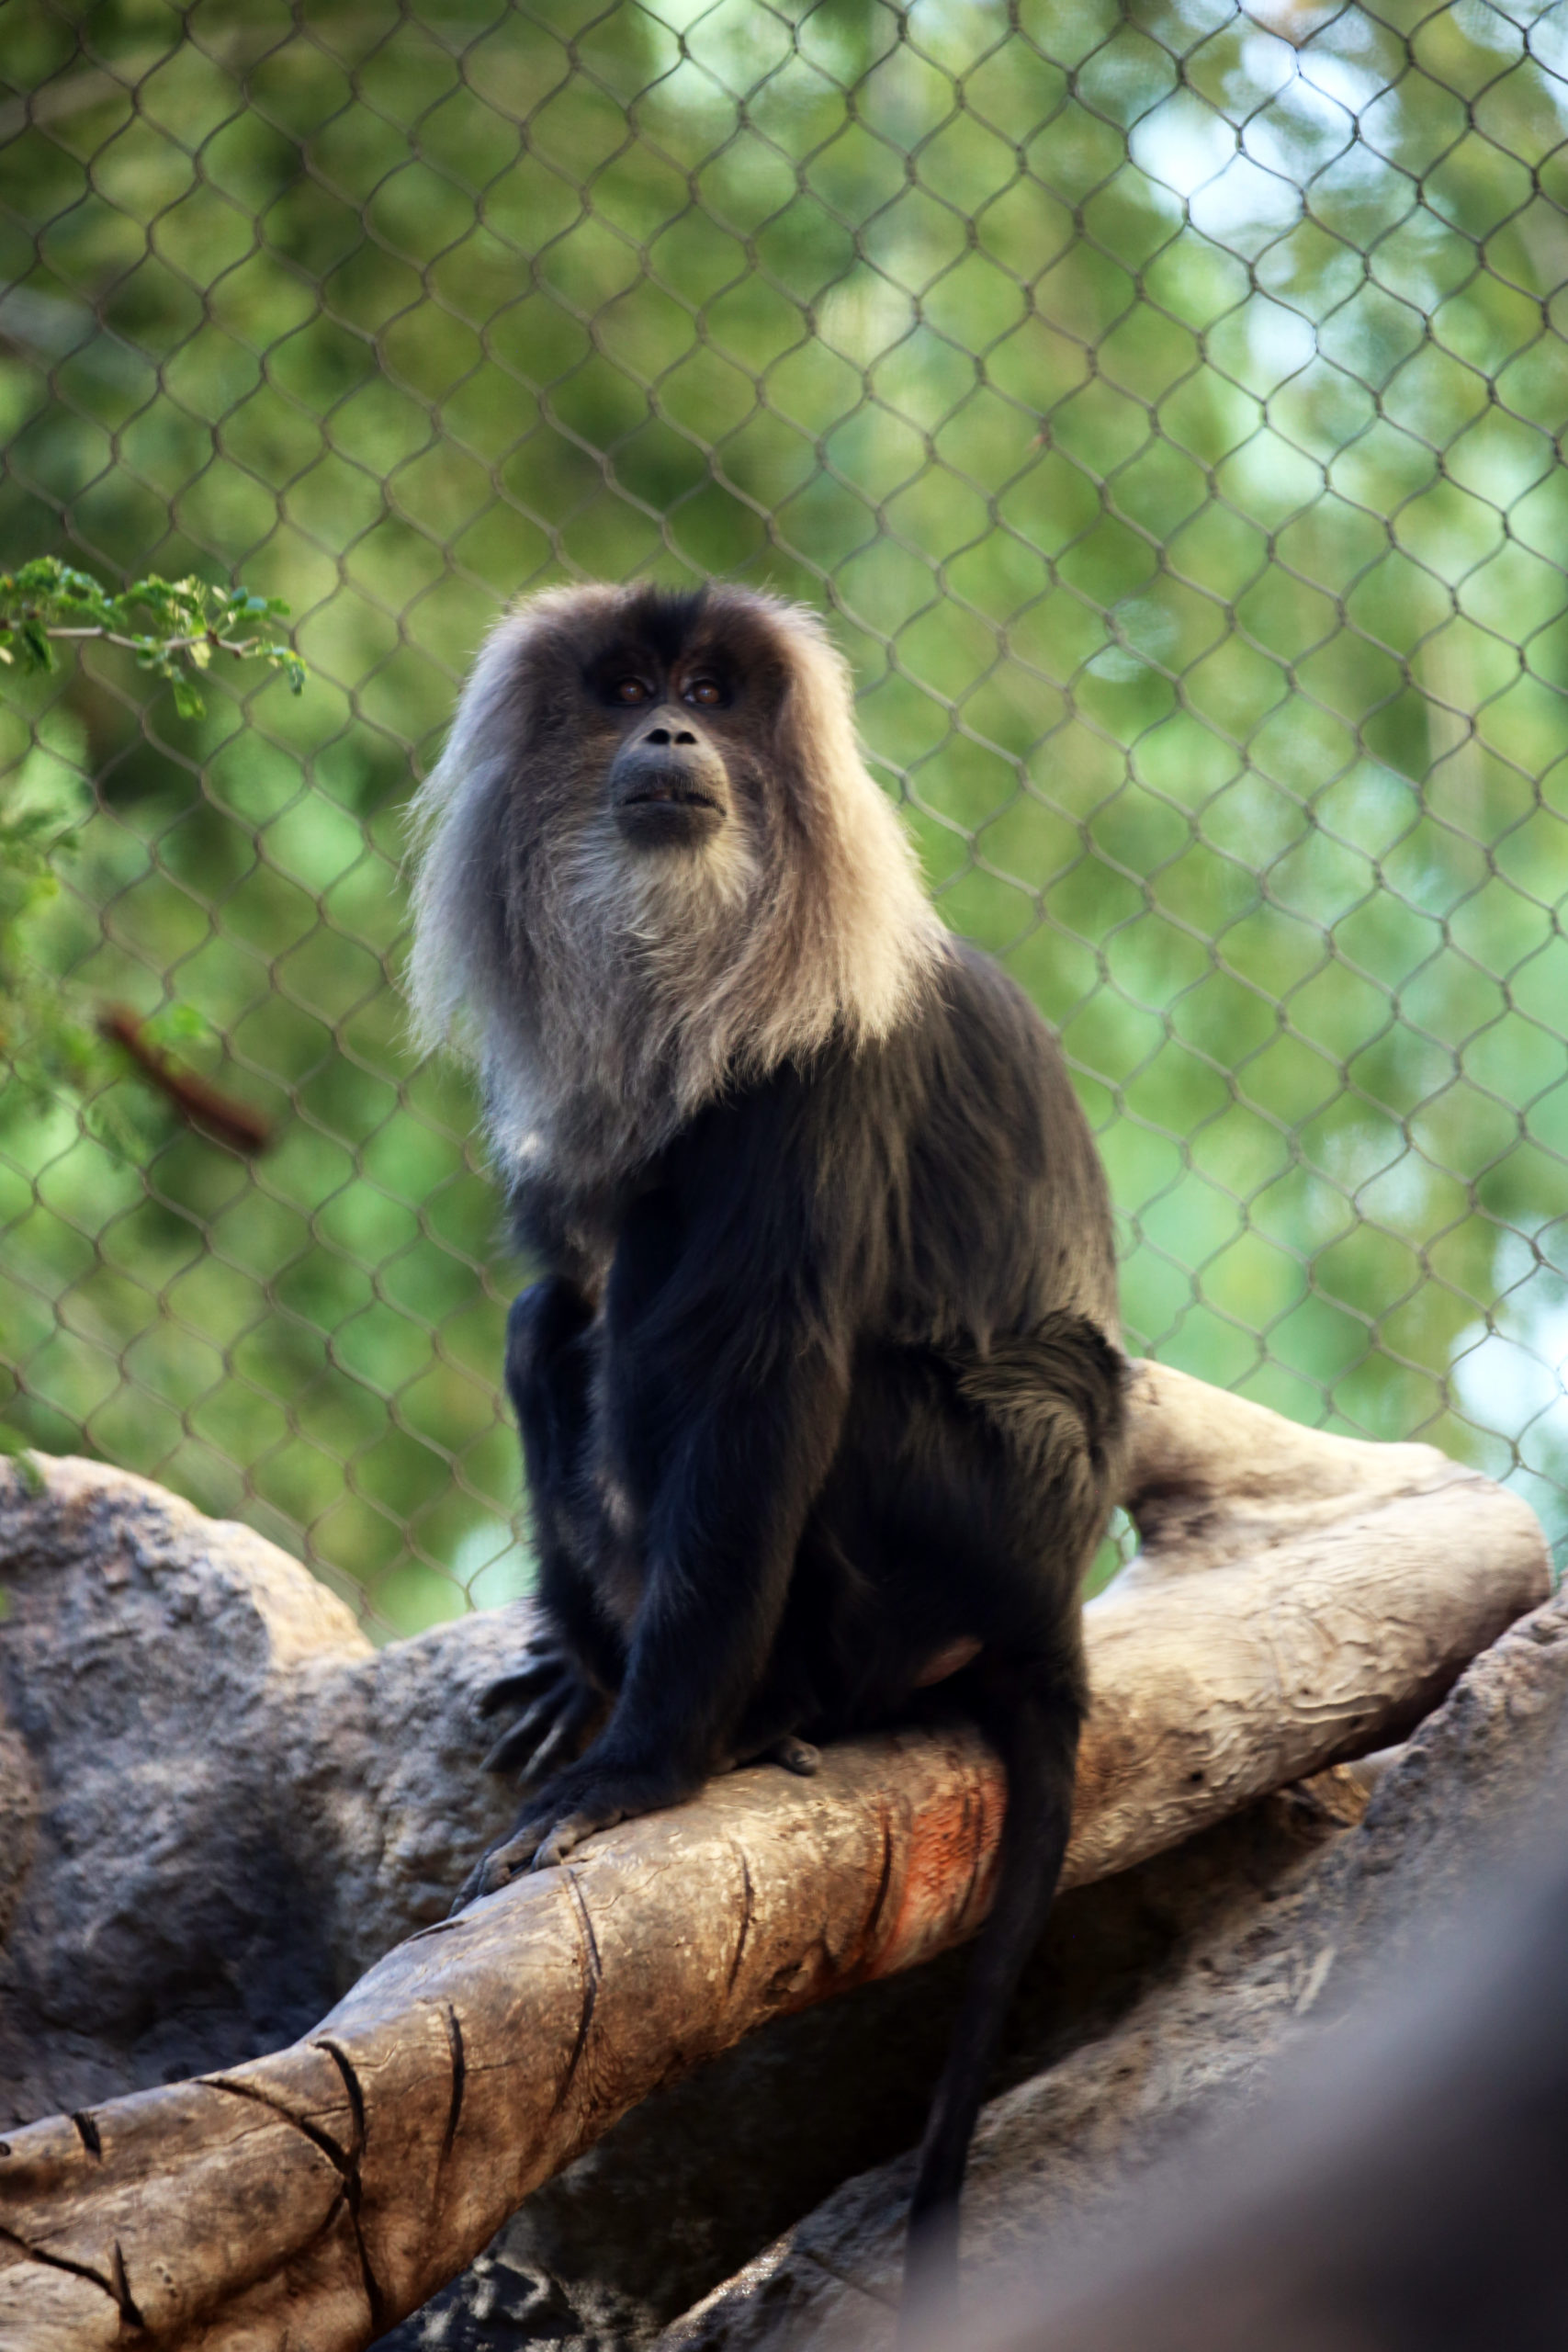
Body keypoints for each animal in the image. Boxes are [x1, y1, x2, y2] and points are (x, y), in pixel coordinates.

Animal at [411, 578, 1123, 2324]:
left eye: (717, 693)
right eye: (627, 689)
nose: (671, 730)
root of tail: (1058, 1612)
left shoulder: (824, 1067)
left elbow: (762, 1380)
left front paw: (640, 1766)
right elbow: (567, 1282)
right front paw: (576, 1682)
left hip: (978, 1519)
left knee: (786, 1377)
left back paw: (770, 1711)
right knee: (556, 1312)